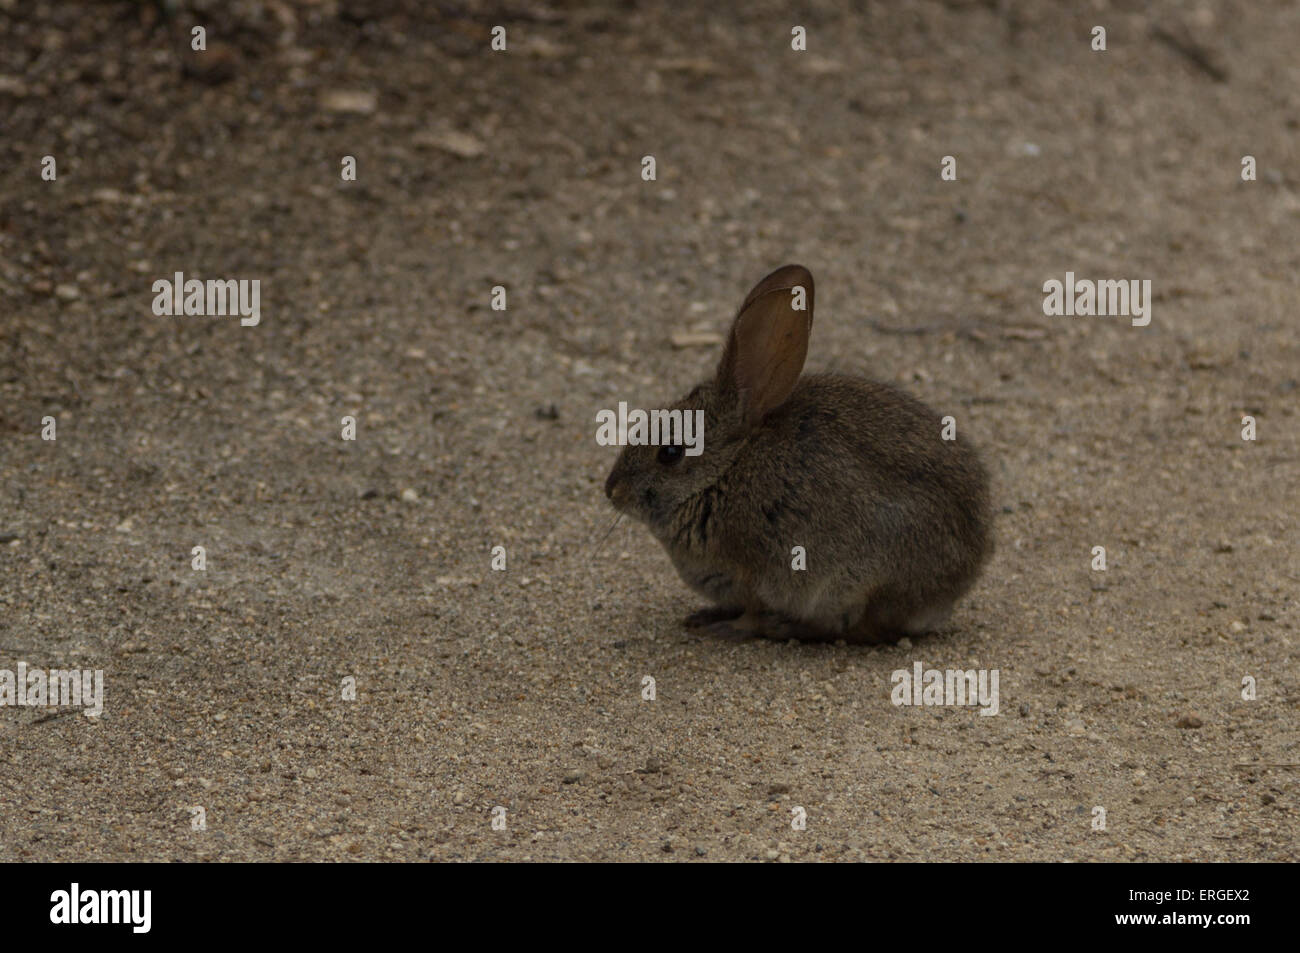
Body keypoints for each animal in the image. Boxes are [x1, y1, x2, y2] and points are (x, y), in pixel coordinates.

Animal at [603, 264, 992, 643]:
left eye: (670, 452)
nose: (612, 490)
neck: (723, 470)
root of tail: (962, 577)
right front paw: (704, 616)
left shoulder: (756, 577)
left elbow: (751, 611)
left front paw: (728, 628)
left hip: (861, 581)